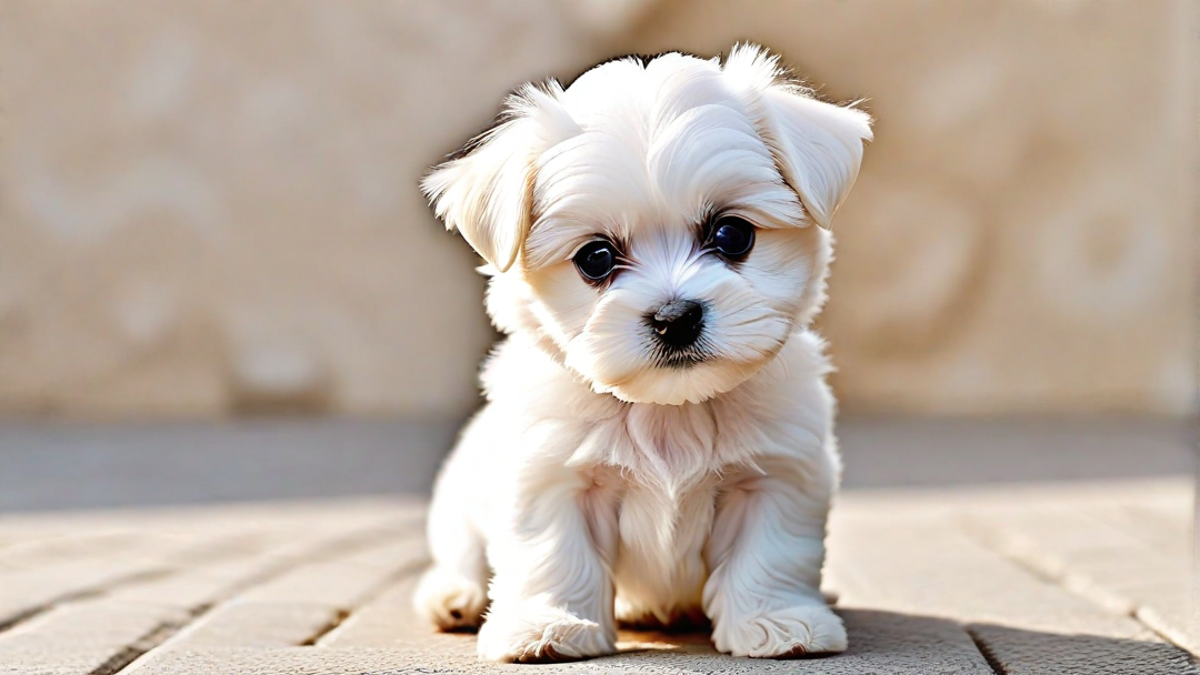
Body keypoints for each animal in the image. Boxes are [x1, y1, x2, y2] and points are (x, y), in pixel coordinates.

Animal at [415, 44, 873, 658]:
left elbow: (769, 553)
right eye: (596, 258)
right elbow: (553, 555)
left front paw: (778, 622)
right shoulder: (548, 475)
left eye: (731, 235)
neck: (668, 411)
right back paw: (456, 596)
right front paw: (549, 626)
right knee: (460, 554)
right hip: (458, 500)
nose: (674, 317)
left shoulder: (778, 475)